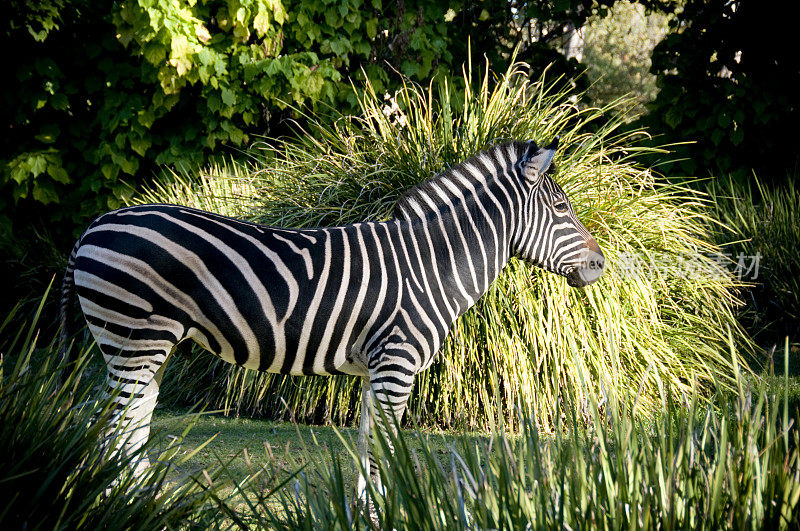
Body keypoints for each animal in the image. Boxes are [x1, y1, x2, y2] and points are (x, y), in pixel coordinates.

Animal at [59, 137, 604, 498]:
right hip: (134, 336)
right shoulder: (397, 363)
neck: (434, 264)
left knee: (132, 417)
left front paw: (366, 510)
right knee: (112, 423)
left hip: (145, 344)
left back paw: (134, 500)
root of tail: (94, 224)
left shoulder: (376, 369)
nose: (600, 265)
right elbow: (383, 446)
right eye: (561, 208)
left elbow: (366, 444)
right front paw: (383, 511)